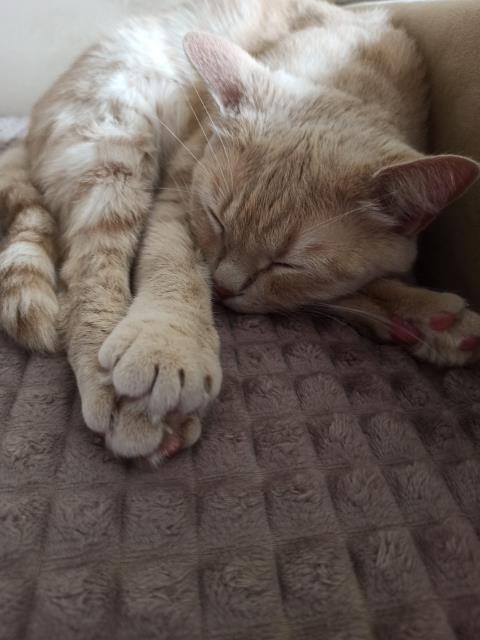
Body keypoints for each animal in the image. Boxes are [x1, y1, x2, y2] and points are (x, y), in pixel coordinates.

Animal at [0, 0, 479, 462]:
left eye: (288, 264)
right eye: (217, 220)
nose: (224, 287)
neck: (348, 74)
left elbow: (330, 288)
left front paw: (413, 307)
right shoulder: (179, 189)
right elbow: (172, 266)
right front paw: (167, 346)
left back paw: (425, 317)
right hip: (117, 149)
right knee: (85, 286)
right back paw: (126, 401)